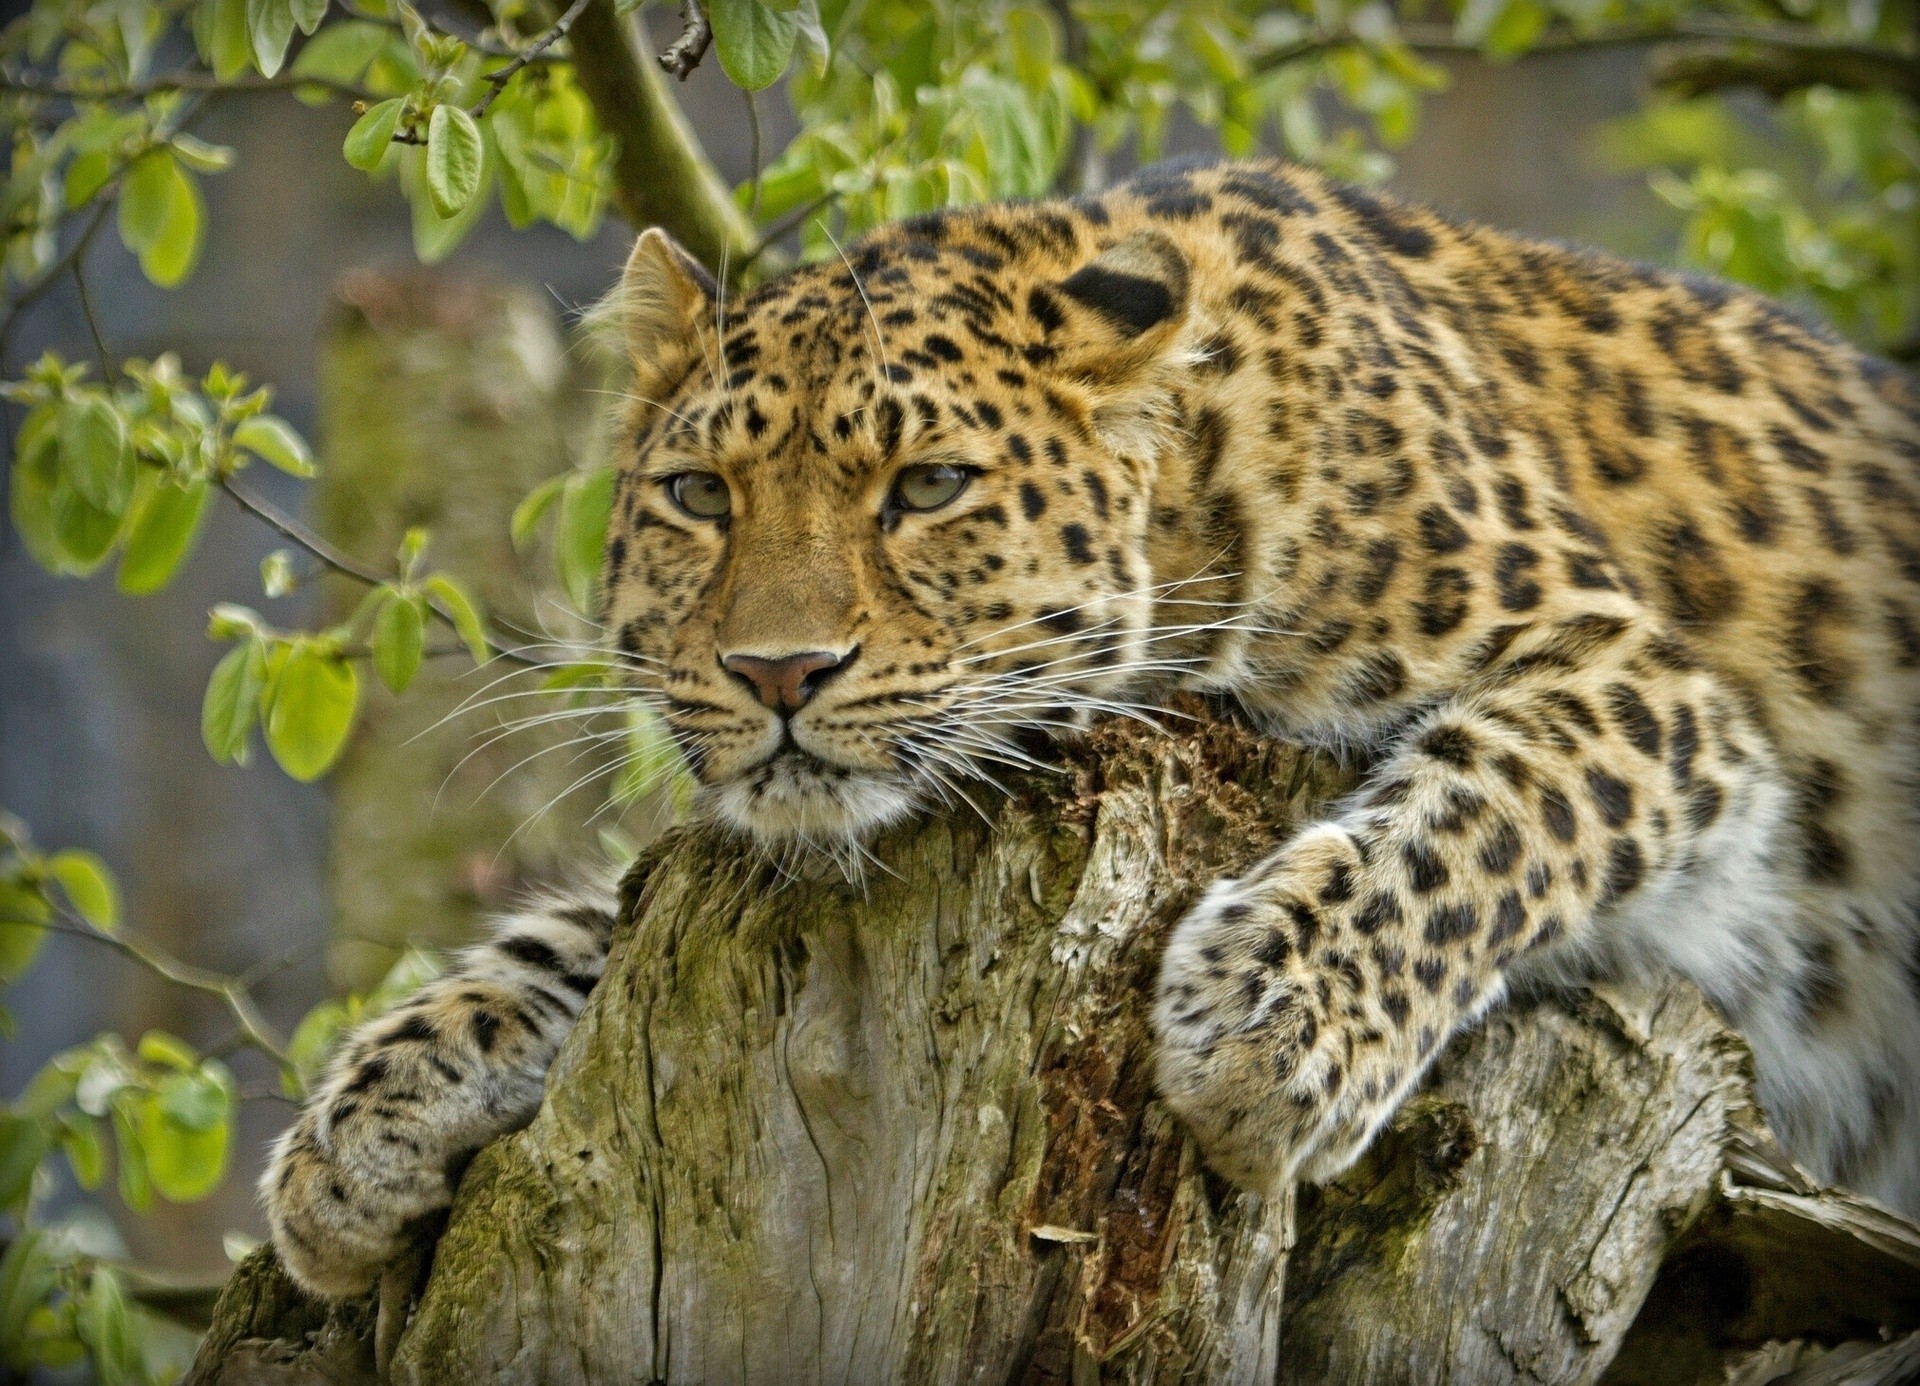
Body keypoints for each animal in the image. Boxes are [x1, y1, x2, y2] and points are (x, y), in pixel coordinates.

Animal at [263, 156, 1920, 1297]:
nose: (778, 670)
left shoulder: (1649, 686)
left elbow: (1484, 817)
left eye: (927, 487)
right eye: (699, 495)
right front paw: (366, 1116)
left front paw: (1274, 1024)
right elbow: (587, 926)